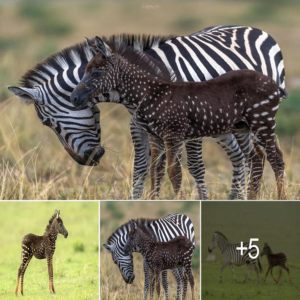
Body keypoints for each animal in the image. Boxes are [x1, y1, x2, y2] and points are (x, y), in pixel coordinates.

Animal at [8, 25, 288, 199]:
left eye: (48, 123)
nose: (85, 162)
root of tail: (256, 29)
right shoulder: (140, 126)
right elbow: (144, 166)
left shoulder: (184, 125)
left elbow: (192, 166)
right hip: (232, 124)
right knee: (244, 157)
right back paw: (241, 197)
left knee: (255, 156)